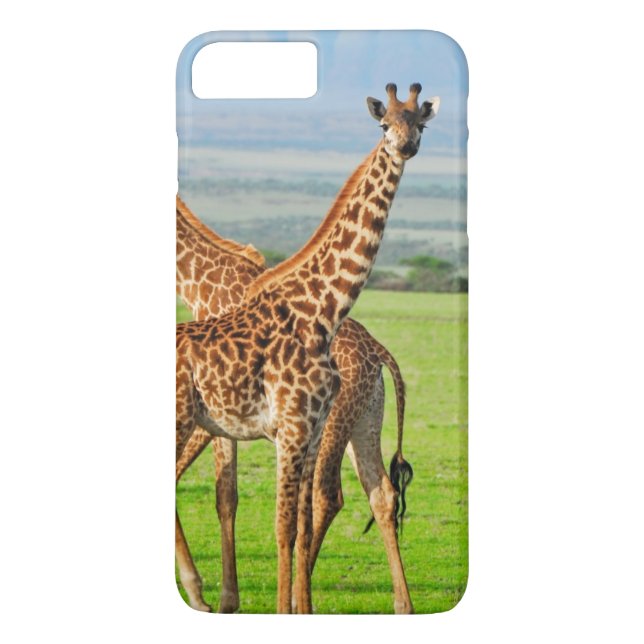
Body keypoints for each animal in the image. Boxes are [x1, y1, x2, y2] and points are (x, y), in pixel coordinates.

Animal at [176, 83, 440, 613]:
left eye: (420, 123)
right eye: (384, 124)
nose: (404, 147)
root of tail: (382, 353)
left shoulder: (297, 429)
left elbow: (280, 521)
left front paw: (241, 599)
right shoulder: (277, 427)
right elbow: (259, 513)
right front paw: (233, 598)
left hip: (351, 423)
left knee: (345, 495)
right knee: (366, 495)